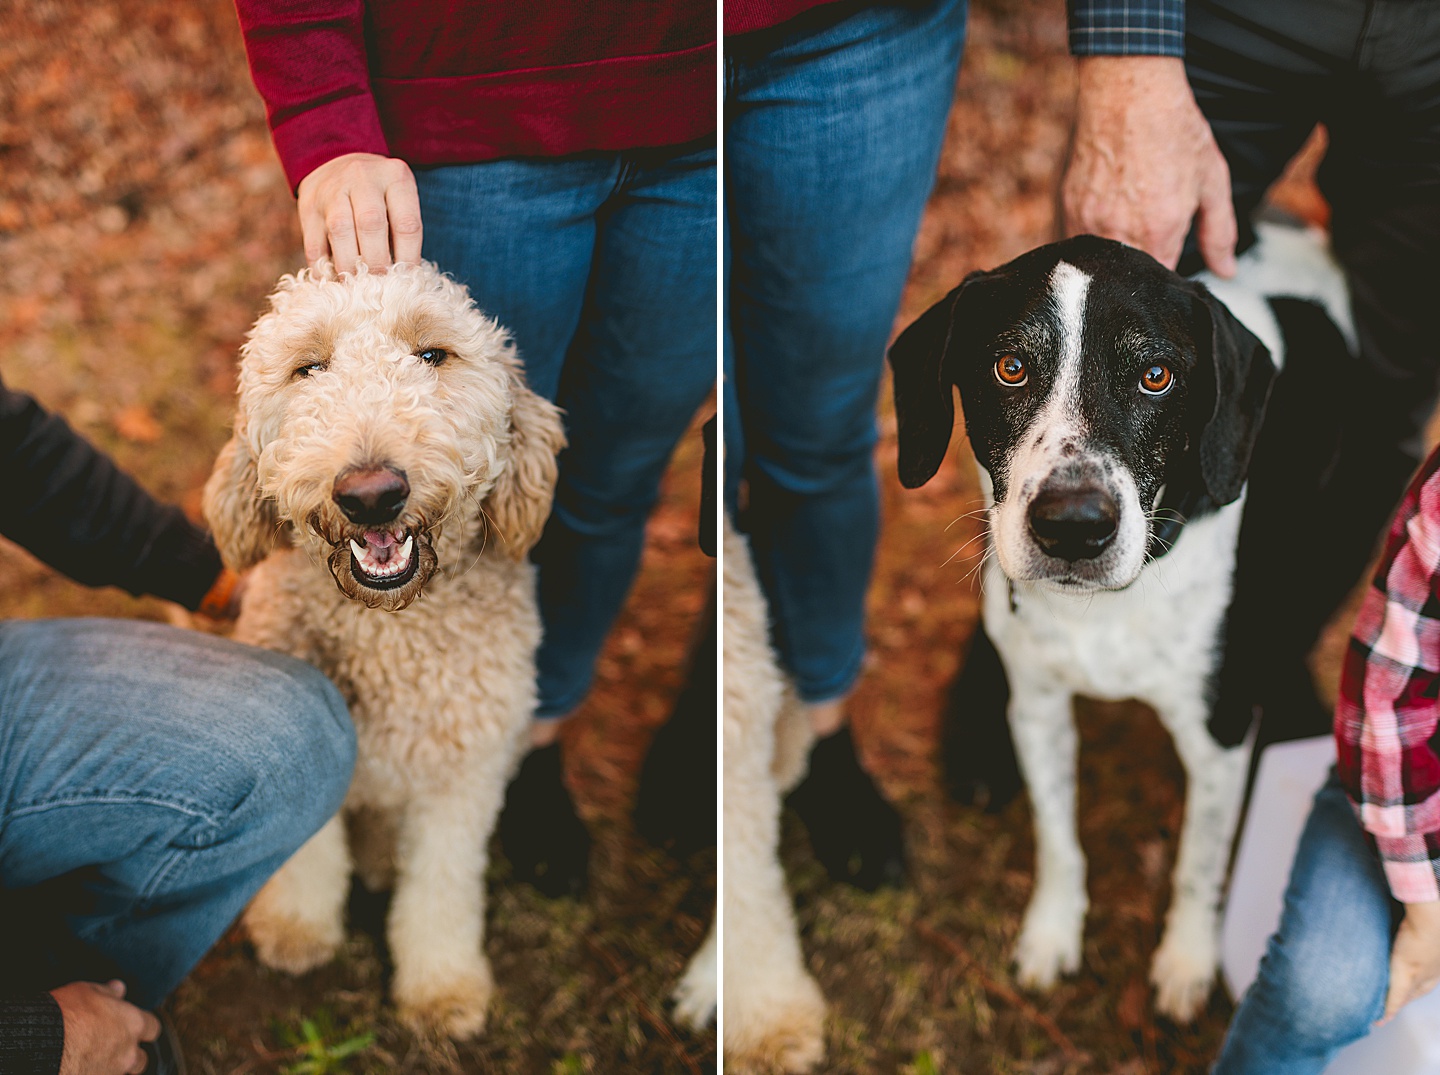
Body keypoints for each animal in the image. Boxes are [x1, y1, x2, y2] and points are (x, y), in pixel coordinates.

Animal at [203, 256, 561, 1036]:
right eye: (308, 368)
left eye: (433, 355)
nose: (371, 493)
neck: (390, 628)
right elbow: (309, 857)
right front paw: (296, 928)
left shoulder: (465, 777)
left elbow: (442, 886)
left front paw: (442, 985)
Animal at [892, 224, 1353, 1018]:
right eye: (1010, 367)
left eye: (1156, 376)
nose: (1073, 527)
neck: (1108, 607)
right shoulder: (1038, 705)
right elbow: (1057, 838)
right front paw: (1052, 931)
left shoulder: (1221, 732)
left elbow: (1199, 862)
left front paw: (1188, 960)